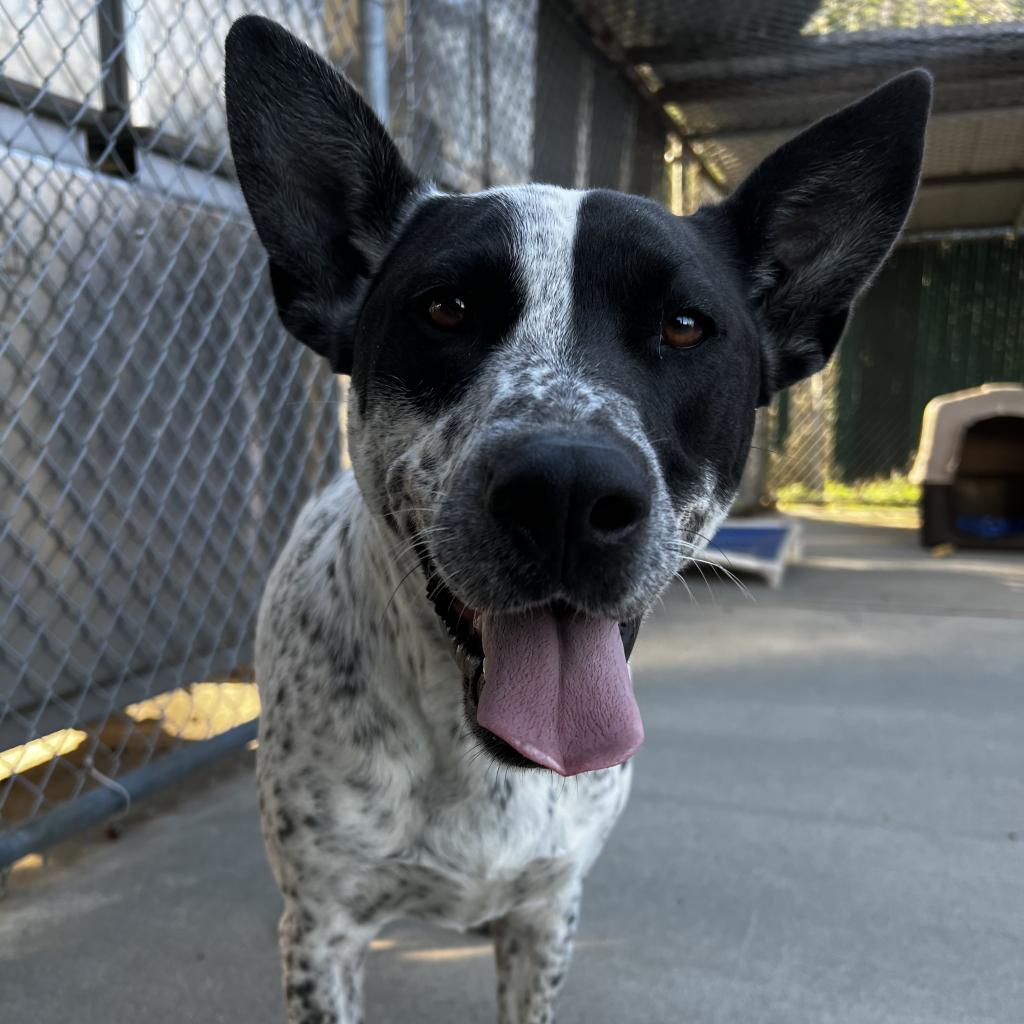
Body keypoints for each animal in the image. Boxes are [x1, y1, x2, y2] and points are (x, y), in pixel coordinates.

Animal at [224, 16, 929, 1024]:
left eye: (685, 324)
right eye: (447, 308)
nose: (563, 491)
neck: (480, 758)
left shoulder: (548, 916)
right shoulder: (325, 933)